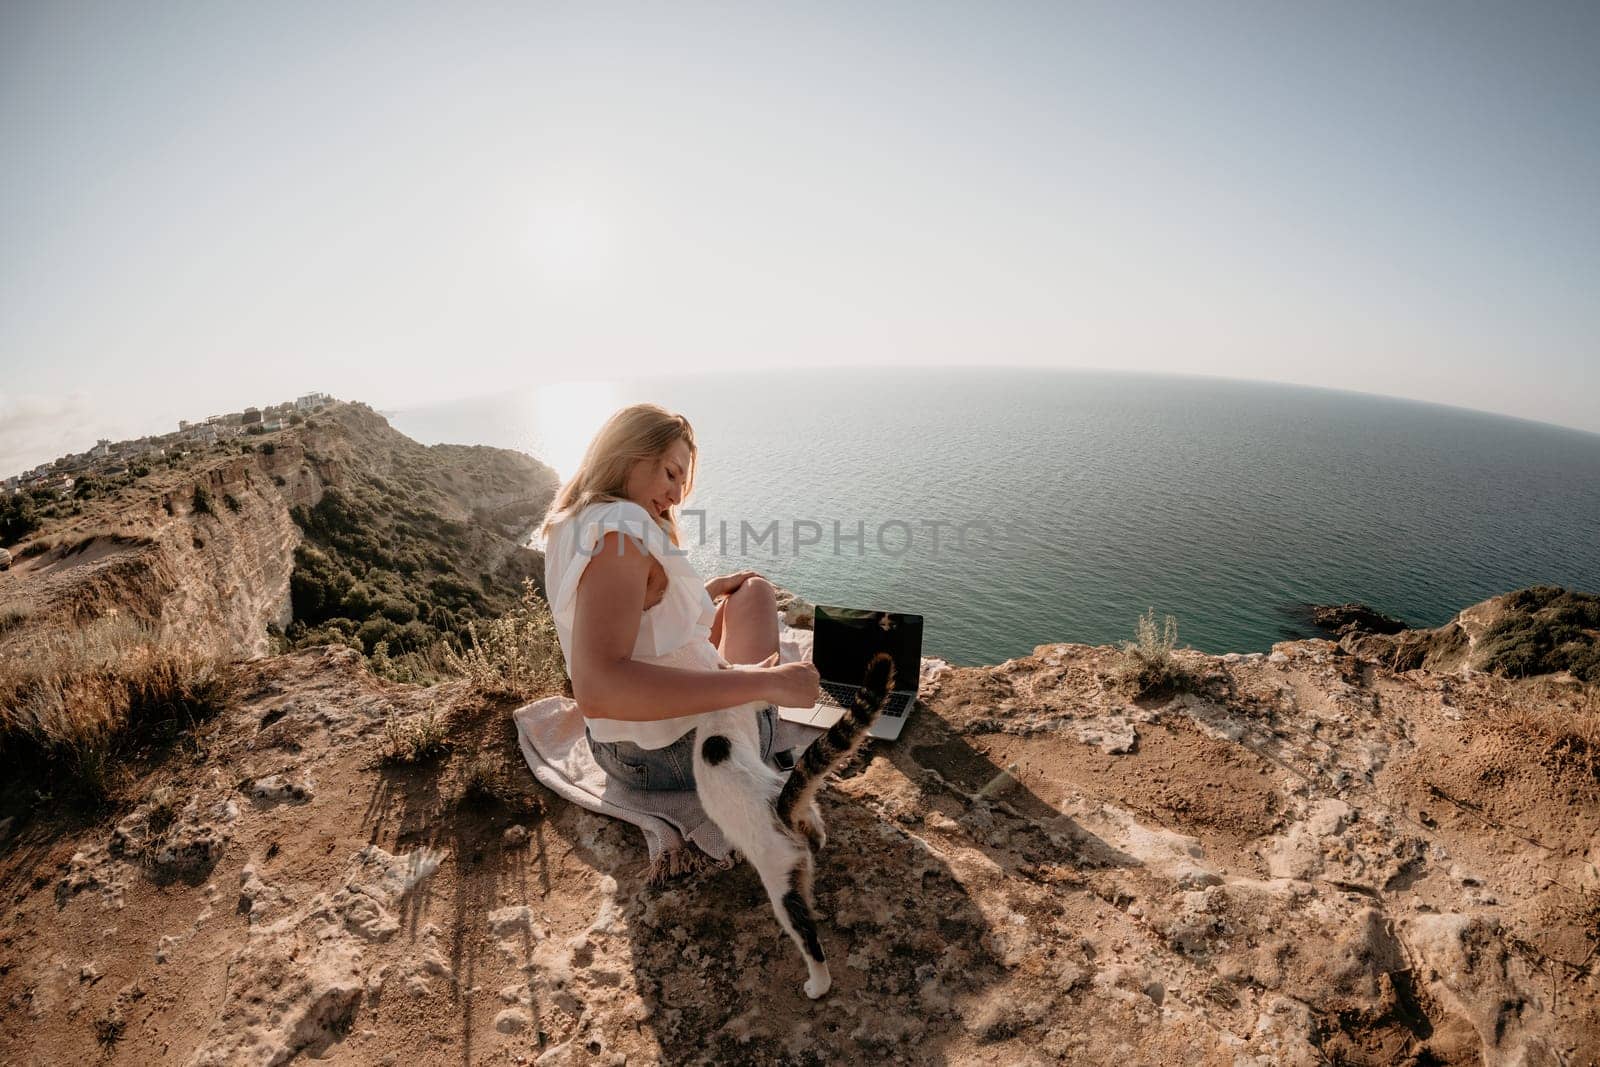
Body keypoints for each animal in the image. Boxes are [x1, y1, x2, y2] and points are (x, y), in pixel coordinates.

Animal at [691, 652, 902, 1004]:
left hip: (782, 885)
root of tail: (780, 807)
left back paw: (818, 985)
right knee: (816, 828)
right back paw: (818, 841)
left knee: (808, 938)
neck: (723, 715)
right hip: (806, 819)